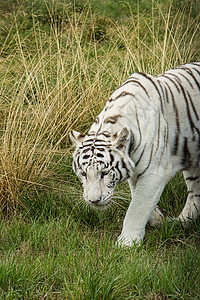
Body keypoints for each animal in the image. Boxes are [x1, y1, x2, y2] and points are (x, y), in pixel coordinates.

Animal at [70, 62, 200, 247]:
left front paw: (127, 243)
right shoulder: (135, 171)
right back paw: (179, 222)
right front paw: (157, 217)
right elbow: (137, 196)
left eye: (104, 173)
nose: (93, 201)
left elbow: (137, 207)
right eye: (83, 174)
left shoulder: (154, 172)